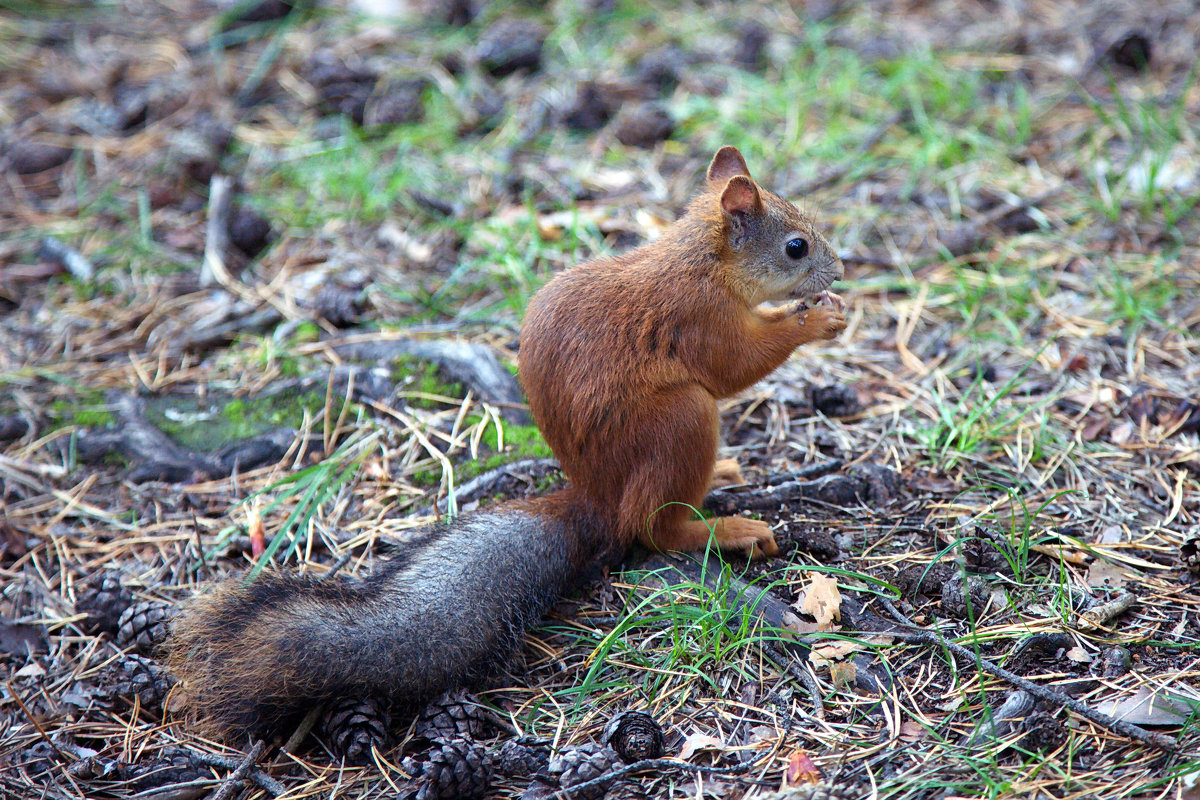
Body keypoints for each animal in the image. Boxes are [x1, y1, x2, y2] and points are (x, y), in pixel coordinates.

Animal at [166, 143, 844, 738]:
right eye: (796, 247)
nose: (843, 271)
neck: (706, 261)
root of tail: (595, 498)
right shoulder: (698, 317)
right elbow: (734, 364)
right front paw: (815, 319)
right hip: (682, 421)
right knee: (653, 527)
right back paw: (725, 531)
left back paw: (721, 478)